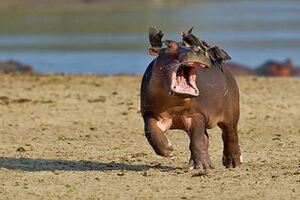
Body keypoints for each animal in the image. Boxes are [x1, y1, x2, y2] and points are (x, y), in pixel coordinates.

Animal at [142, 27, 243, 169]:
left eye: (196, 47)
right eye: (170, 46)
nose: (195, 50)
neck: (174, 104)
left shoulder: (197, 114)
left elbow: (197, 140)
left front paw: (204, 167)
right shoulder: (151, 113)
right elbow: (150, 130)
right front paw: (168, 150)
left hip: (231, 114)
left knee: (230, 135)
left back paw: (233, 163)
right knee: (206, 138)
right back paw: (191, 164)